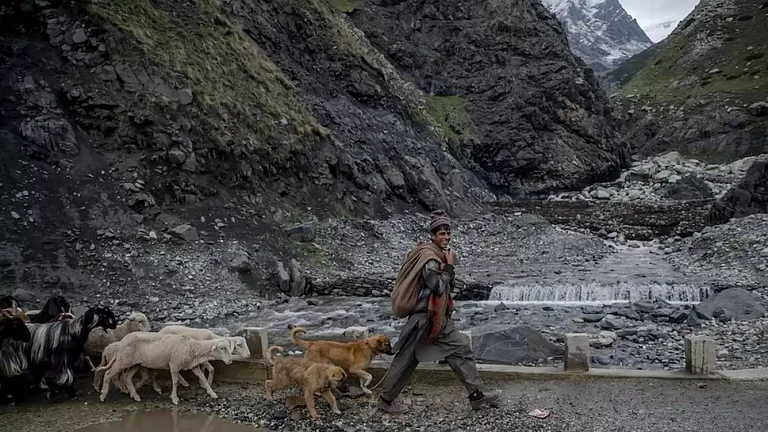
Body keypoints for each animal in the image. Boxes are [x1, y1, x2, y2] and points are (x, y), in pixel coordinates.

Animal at [96, 332, 233, 405]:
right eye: (222, 348)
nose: (230, 361)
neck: (193, 347)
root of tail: (122, 341)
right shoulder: (174, 364)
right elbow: (175, 381)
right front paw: (174, 398)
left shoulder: (192, 365)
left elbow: (203, 378)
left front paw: (212, 393)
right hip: (124, 359)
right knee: (108, 374)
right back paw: (103, 396)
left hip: (135, 363)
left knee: (127, 377)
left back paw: (135, 395)